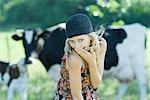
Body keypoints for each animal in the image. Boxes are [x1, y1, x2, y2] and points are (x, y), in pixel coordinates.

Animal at [12, 22, 148, 100]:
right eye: (23, 42)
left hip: (137, 63)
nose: (29, 60)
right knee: (124, 84)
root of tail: (140, 27)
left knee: (142, 83)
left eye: (37, 39)